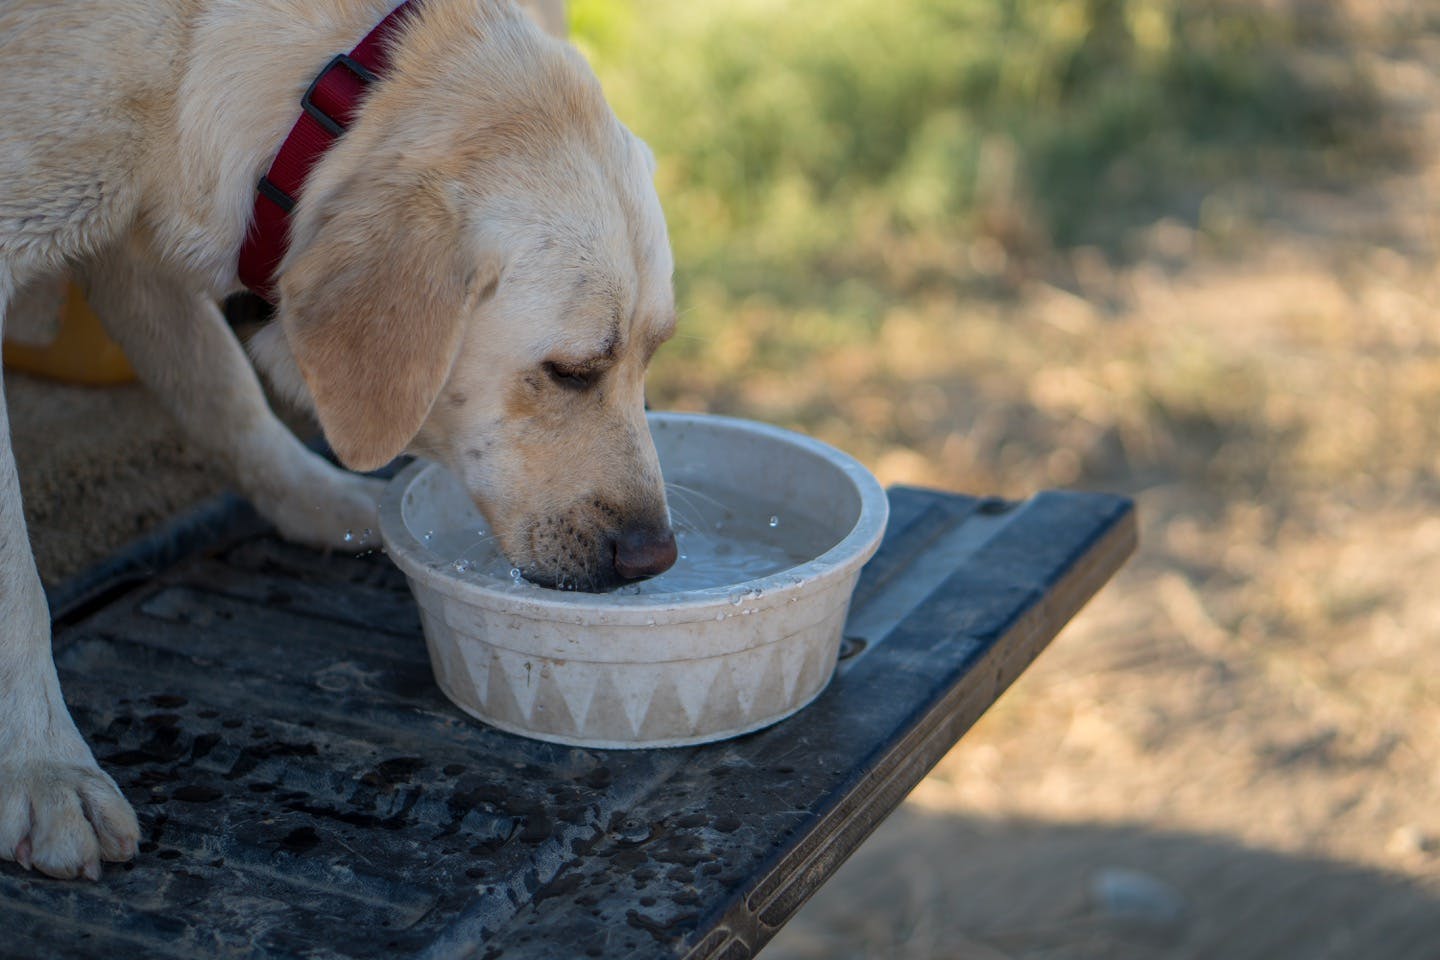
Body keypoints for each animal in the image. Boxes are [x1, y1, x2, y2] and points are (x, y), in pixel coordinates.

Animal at [0, 0, 679, 880]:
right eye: (570, 372)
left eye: (655, 353)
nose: (657, 558)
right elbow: (17, 583)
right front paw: (43, 766)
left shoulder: (127, 247)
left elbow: (225, 397)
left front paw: (318, 503)